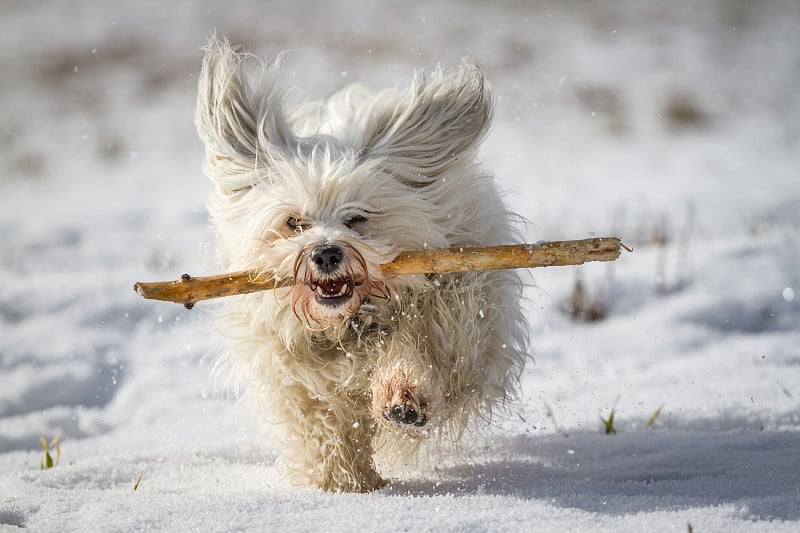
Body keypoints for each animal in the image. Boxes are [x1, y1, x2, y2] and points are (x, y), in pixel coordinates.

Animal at [195, 37, 532, 492]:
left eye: (357, 217)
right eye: (294, 223)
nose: (325, 253)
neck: (350, 323)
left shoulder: (458, 306)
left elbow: (425, 346)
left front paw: (403, 394)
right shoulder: (290, 363)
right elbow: (319, 419)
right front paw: (344, 482)